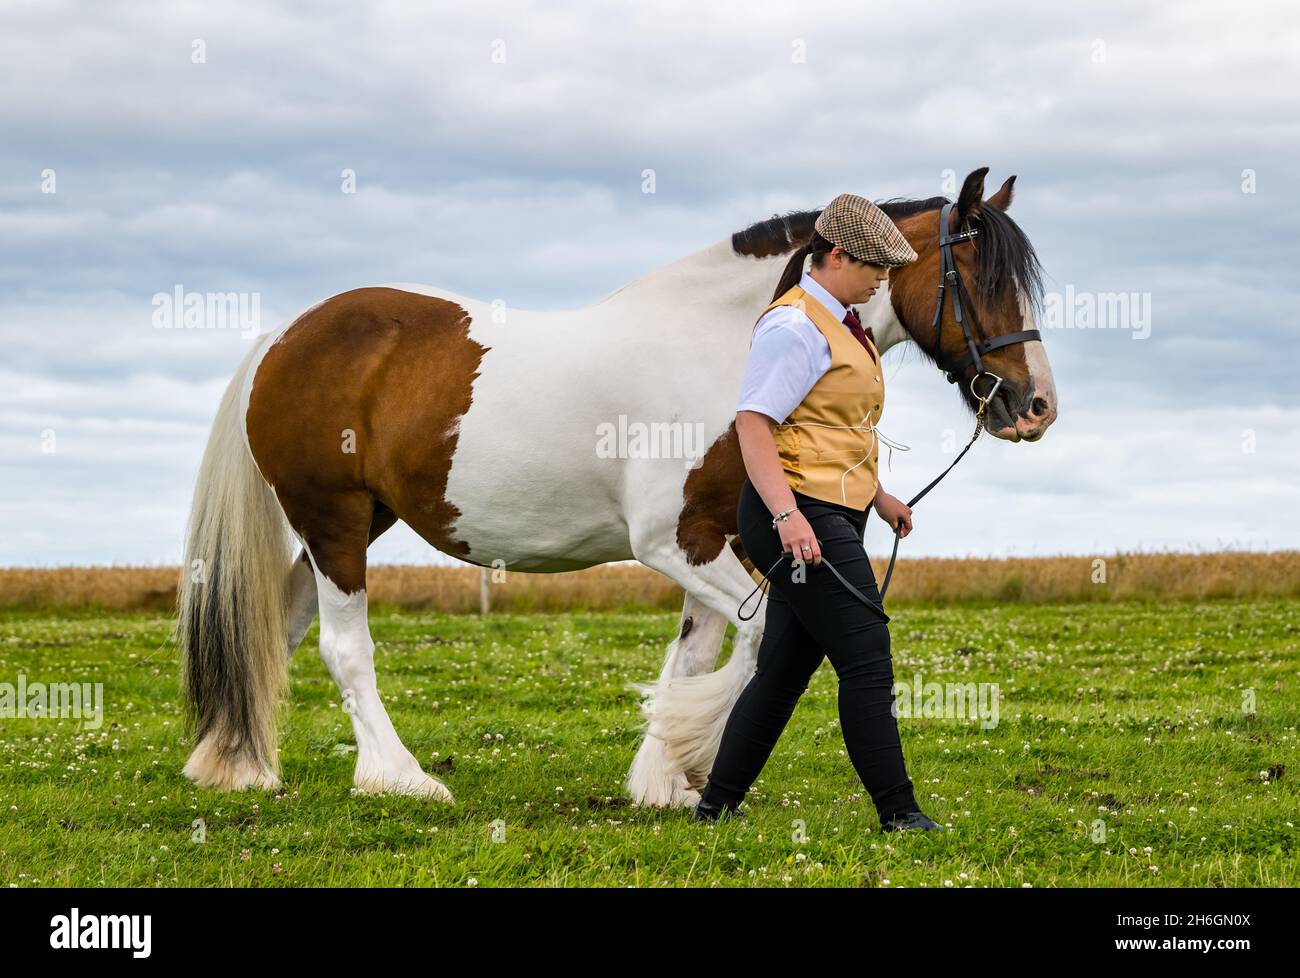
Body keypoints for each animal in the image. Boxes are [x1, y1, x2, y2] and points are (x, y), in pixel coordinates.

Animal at [175, 167, 1055, 806]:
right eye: (975, 274)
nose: (1035, 405)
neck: (732, 342)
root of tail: (285, 337)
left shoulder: (721, 539)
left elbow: (699, 653)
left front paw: (667, 775)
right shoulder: (675, 541)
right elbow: (752, 644)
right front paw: (685, 752)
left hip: (357, 523)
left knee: (282, 625)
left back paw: (237, 766)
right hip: (334, 521)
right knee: (343, 646)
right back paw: (400, 778)